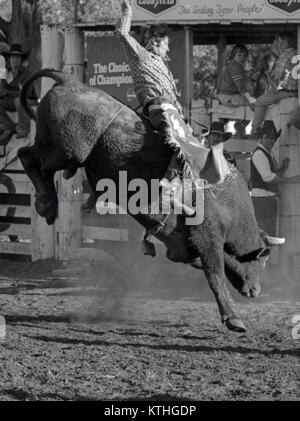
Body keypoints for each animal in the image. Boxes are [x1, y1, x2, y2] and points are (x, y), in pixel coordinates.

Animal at [18, 68, 276, 332]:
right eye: (263, 262)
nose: (255, 291)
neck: (228, 204)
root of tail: (70, 82)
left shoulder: (185, 247)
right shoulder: (208, 238)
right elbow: (216, 276)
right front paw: (233, 318)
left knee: (35, 162)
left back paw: (47, 204)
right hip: (68, 151)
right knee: (27, 156)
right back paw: (46, 203)